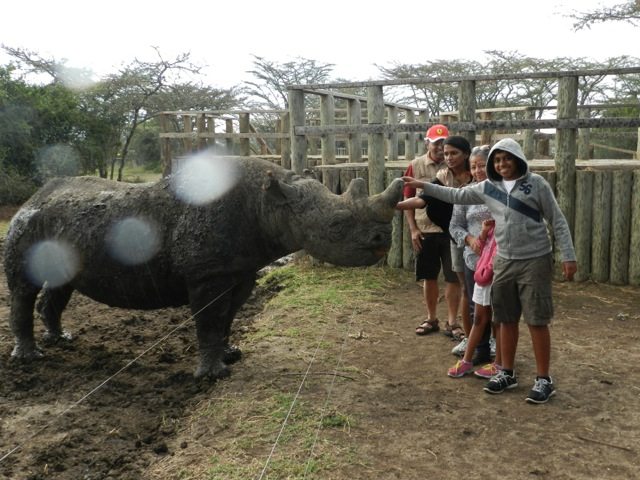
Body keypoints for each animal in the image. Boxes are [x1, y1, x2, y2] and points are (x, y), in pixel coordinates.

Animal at [3, 155, 402, 379]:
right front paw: (213, 376)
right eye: (336, 225)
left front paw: (231, 355)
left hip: (58, 227)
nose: (384, 239)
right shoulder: (206, 275)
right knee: (23, 287)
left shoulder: (239, 270)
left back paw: (61, 339)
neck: (268, 203)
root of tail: (33, 196)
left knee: (61, 285)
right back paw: (30, 358)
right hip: (25, 225)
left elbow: (228, 317)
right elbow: (210, 320)